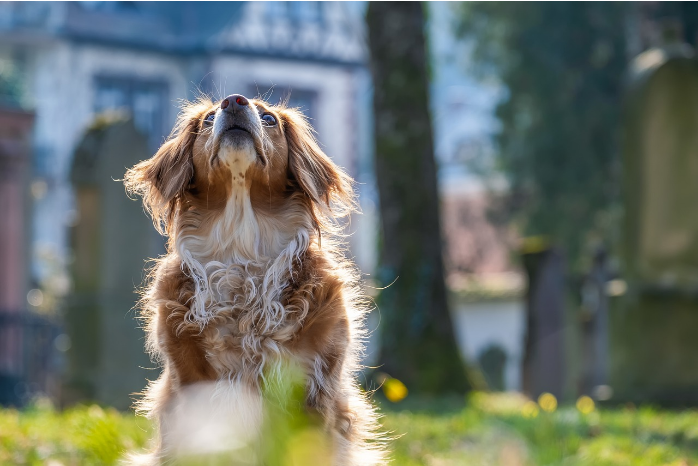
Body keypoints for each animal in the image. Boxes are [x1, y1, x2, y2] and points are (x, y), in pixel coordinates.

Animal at [125, 95, 386, 466]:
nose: (233, 101)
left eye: (269, 119)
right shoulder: (192, 389)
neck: (241, 248)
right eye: (207, 119)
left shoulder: (313, 390)